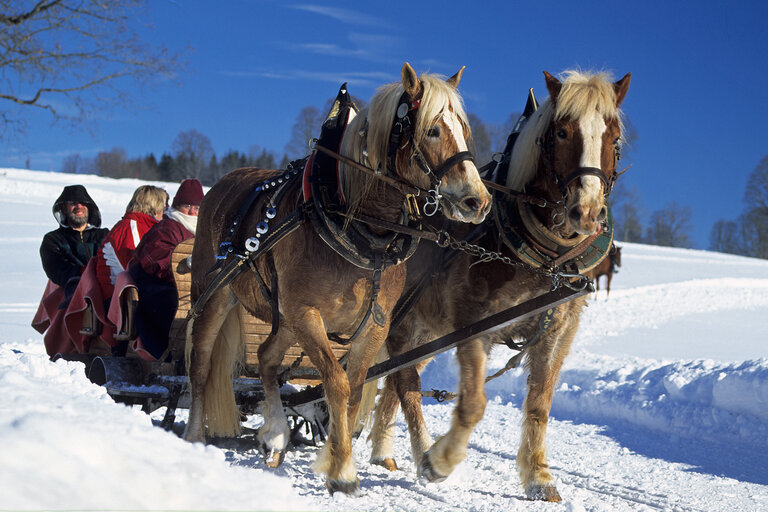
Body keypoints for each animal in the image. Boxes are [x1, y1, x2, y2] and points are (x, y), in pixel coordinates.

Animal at [182, 62, 488, 494]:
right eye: (432, 130)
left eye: (463, 127)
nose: (477, 200)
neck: (358, 226)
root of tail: (223, 184)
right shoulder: (308, 315)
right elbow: (337, 384)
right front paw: (342, 470)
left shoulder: (374, 324)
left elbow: (354, 390)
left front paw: (334, 456)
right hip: (216, 296)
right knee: (202, 366)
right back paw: (195, 436)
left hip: (284, 318)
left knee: (267, 357)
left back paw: (277, 434)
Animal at [366, 68, 632, 500]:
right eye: (561, 132)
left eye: (615, 136)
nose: (587, 212)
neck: (545, 257)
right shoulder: (475, 324)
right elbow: (474, 402)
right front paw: (442, 460)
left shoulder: (558, 329)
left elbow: (540, 403)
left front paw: (539, 477)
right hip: (401, 323)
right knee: (404, 382)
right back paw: (420, 451)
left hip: (425, 332)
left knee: (394, 379)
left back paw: (382, 451)